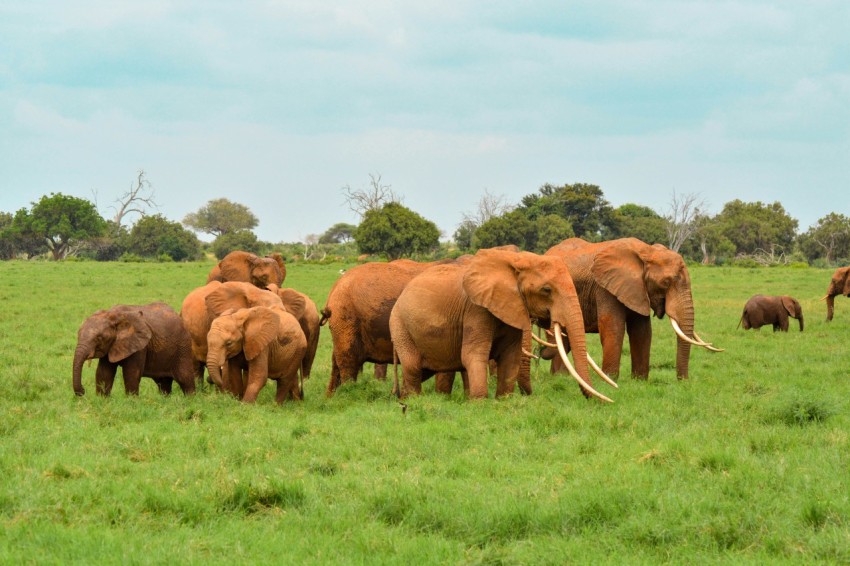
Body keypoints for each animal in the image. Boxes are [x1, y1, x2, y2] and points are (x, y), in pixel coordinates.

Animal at [390, 248, 613, 401]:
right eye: (546, 290)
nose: (603, 402)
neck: (515, 263)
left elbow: (510, 356)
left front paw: (504, 400)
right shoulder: (476, 309)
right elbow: (473, 354)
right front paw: (479, 403)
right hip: (399, 325)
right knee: (412, 366)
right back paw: (414, 401)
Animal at [543, 237, 720, 381]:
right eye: (666, 283)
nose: (683, 381)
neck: (647, 251)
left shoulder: (638, 290)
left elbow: (642, 331)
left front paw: (640, 381)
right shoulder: (605, 287)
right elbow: (614, 328)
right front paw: (609, 380)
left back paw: (560, 377)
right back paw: (560, 377)